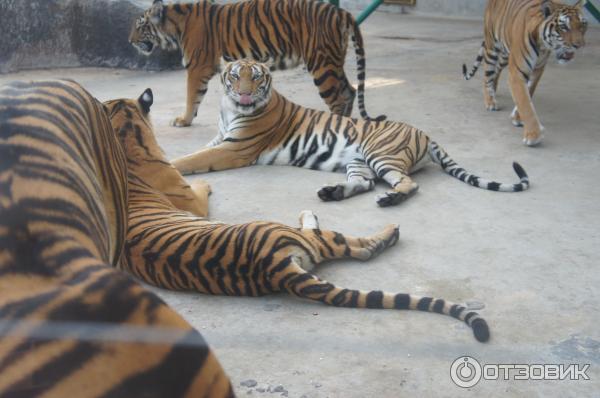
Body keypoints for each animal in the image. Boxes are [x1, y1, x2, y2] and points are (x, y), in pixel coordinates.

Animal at [130, 0, 384, 127]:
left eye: (140, 26)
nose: (130, 41)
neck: (175, 26)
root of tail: (340, 11)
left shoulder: (198, 67)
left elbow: (192, 96)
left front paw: (183, 120)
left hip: (322, 63)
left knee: (339, 97)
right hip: (333, 61)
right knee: (349, 91)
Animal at [170, 59, 528, 208]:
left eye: (255, 77)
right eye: (235, 76)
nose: (244, 94)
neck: (230, 110)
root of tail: (426, 135)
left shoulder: (234, 148)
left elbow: (193, 158)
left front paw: (171, 166)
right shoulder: (221, 139)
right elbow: (194, 151)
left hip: (380, 154)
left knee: (407, 184)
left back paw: (390, 199)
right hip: (358, 161)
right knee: (365, 183)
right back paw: (333, 193)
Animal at [464, 0, 584, 146]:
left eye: (583, 25)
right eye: (564, 27)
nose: (579, 45)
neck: (543, 46)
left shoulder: (537, 70)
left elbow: (528, 93)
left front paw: (517, 117)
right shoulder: (517, 73)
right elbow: (524, 102)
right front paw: (533, 135)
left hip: (506, 55)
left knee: (496, 70)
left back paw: (494, 88)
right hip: (492, 46)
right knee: (487, 74)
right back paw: (490, 101)